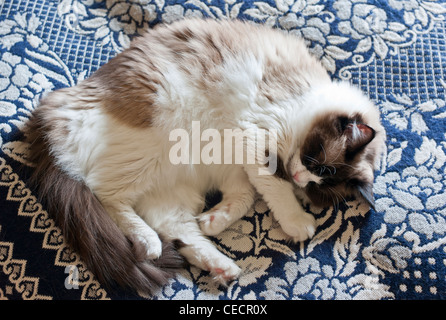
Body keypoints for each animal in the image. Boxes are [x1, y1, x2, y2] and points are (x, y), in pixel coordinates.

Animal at [23, 18, 386, 294]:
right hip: (152, 149)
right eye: (315, 164)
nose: (300, 177)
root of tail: (52, 109)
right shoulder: (254, 140)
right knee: (107, 196)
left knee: (177, 228)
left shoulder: (237, 167)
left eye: (315, 187)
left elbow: (244, 199)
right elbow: (276, 190)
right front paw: (299, 223)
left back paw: (223, 266)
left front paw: (215, 222)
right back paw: (150, 244)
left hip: (174, 183)